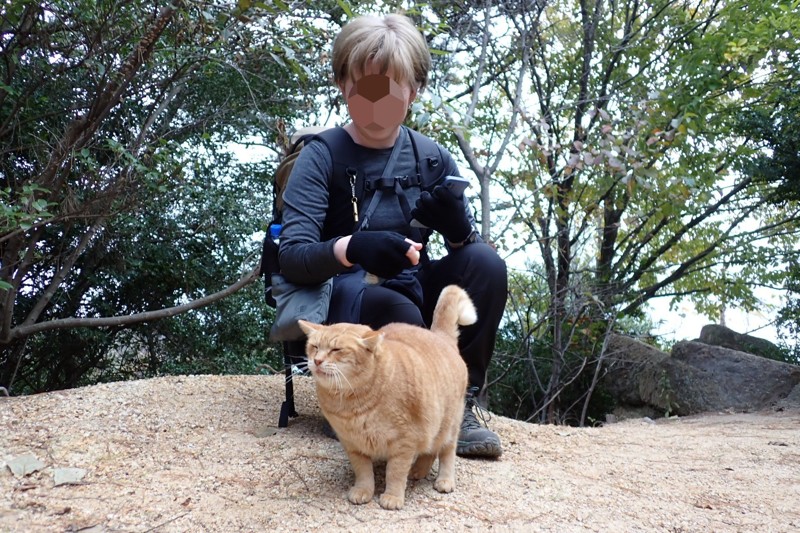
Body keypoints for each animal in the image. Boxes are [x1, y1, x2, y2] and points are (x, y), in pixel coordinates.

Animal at [300, 284, 476, 510]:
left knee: (446, 452)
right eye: (314, 347)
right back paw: (418, 471)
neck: (352, 402)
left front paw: (392, 496)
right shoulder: (352, 444)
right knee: (429, 451)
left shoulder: (404, 442)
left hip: (449, 426)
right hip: (433, 427)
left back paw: (444, 480)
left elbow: (395, 473)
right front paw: (364, 491)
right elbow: (363, 472)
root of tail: (439, 335)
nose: (317, 361)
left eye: (336, 349)